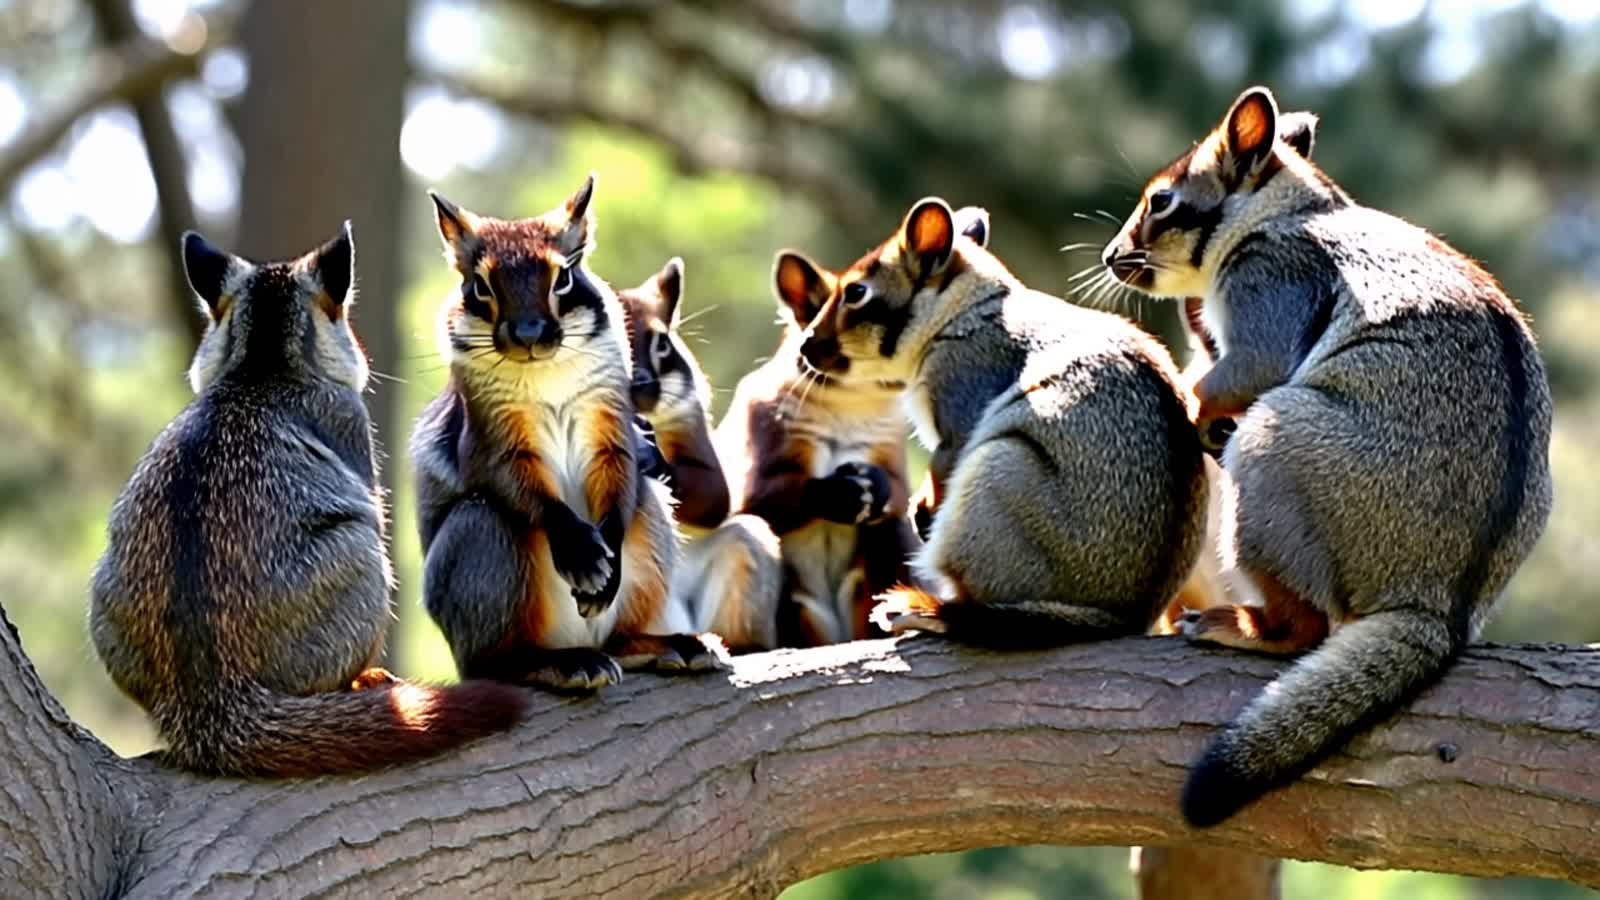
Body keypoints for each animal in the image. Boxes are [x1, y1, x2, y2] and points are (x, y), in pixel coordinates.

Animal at [412, 175, 721, 691]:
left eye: (565, 278)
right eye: (479, 286)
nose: (529, 333)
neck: (545, 372)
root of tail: (579, 639)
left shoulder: (611, 426)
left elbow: (619, 472)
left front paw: (604, 563)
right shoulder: (491, 439)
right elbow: (522, 486)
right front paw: (581, 553)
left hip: (651, 529)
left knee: (618, 637)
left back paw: (673, 645)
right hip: (483, 536)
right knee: (493, 663)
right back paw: (564, 663)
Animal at [616, 258, 781, 652]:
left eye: (662, 343)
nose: (639, 383)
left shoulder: (691, 426)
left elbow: (714, 492)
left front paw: (650, 457)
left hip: (746, 549)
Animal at [712, 250, 922, 647]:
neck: (851, 405)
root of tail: (838, 635)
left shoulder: (891, 454)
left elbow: (897, 490)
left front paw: (872, 485)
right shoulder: (756, 464)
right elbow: (780, 494)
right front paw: (843, 492)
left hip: (881, 555)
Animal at [789, 198, 1206, 648]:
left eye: (856, 292)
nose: (805, 345)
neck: (965, 308)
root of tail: (1120, 620)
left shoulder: (961, 395)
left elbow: (943, 464)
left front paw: (925, 507)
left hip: (996, 468)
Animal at [1103, 85, 1553, 826]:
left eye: (1161, 200)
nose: (1113, 256)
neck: (1290, 208)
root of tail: (1438, 603)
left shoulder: (1266, 293)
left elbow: (1236, 371)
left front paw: (1193, 403)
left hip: (1271, 443)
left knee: (1306, 626)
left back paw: (1244, 625)